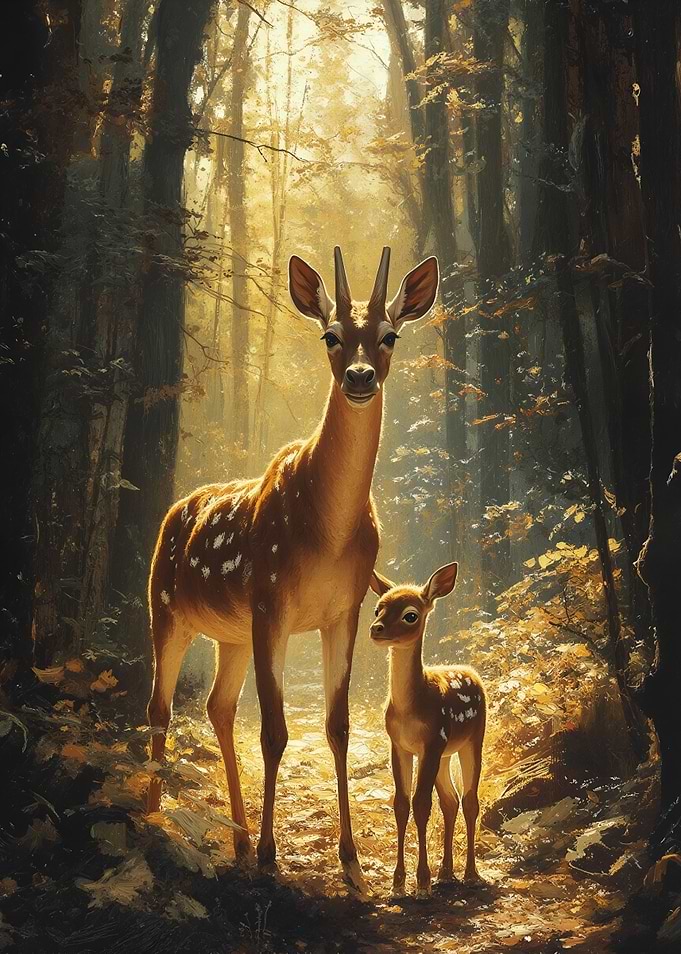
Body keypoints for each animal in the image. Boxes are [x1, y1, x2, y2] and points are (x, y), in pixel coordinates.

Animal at [145, 246, 439, 893]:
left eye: (390, 335)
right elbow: (275, 731)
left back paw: (231, 838)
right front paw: (269, 856)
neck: (327, 532)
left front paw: (352, 865)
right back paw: (155, 822)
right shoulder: (270, 601)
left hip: (229, 633)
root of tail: (175, 510)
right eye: (331, 334)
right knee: (160, 707)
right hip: (164, 608)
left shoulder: (345, 611)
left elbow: (338, 728)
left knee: (217, 707)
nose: (360, 376)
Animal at [369, 562, 486, 898]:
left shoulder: (433, 741)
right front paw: (397, 884)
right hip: (445, 754)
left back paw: (471, 874)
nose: (375, 628)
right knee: (451, 800)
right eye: (378, 608)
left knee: (470, 800)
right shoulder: (399, 745)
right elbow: (400, 804)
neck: (411, 707)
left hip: (472, 739)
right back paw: (447, 873)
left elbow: (422, 804)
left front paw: (422, 883)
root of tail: (473, 672)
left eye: (411, 615)